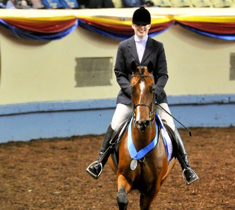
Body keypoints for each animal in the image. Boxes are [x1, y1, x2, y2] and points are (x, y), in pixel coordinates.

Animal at [108, 61, 176, 210]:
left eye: (152, 89)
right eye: (132, 89)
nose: (142, 123)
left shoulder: (153, 188)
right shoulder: (123, 176)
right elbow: (122, 199)